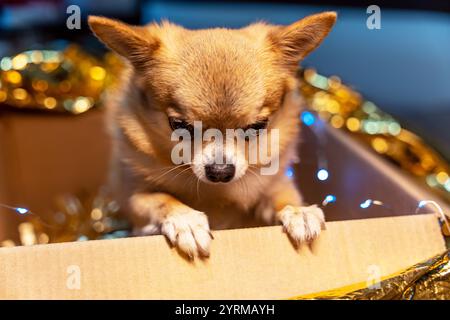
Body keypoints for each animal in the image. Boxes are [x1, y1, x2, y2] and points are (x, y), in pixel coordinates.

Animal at [89, 11, 338, 258]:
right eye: (179, 125)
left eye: (258, 126)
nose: (220, 171)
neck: (215, 194)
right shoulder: (133, 198)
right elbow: (159, 198)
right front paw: (185, 220)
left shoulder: (274, 185)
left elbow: (282, 196)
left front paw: (298, 211)